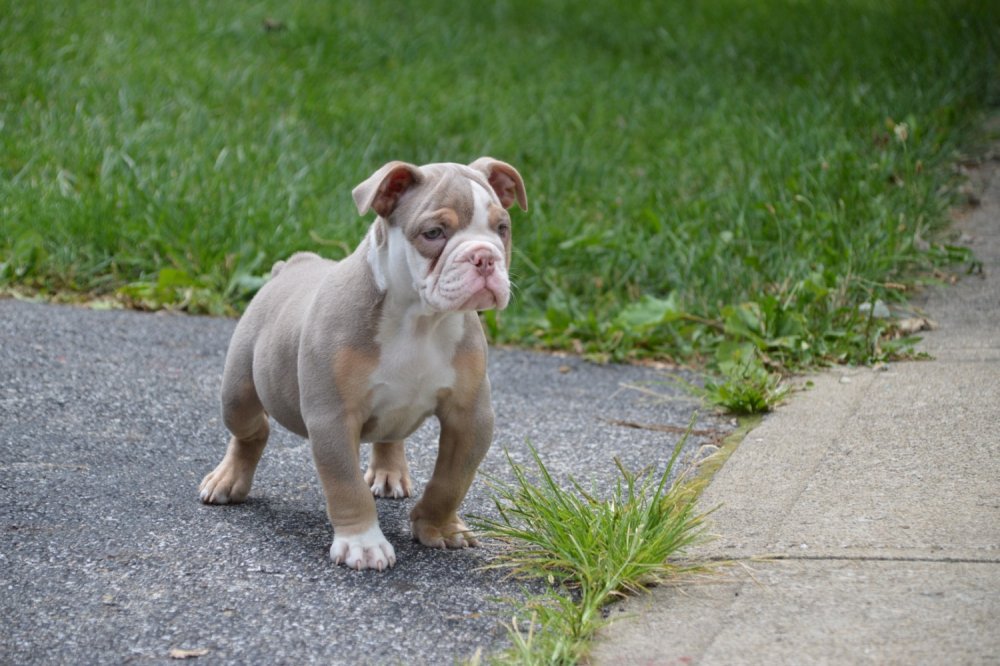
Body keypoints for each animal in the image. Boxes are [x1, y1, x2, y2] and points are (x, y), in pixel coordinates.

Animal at [194, 158, 524, 568]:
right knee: (250, 430)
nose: (485, 256)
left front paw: (439, 527)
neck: (419, 321)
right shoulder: (333, 417)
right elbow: (346, 484)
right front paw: (363, 543)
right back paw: (227, 479)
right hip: (238, 392)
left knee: (389, 434)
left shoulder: (470, 418)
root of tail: (294, 264)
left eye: (502, 229)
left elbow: (452, 480)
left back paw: (388, 472)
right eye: (433, 233)